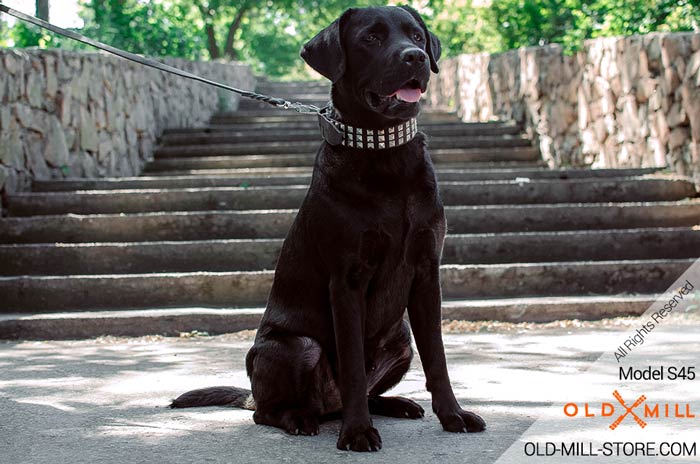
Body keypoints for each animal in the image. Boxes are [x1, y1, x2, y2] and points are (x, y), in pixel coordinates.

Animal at [172, 5, 484, 452]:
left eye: (416, 36)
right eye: (371, 38)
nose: (415, 58)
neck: (383, 150)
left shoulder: (427, 272)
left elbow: (438, 358)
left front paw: (453, 415)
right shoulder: (347, 280)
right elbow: (352, 364)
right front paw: (356, 432)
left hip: (401, 337)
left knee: (369, 390)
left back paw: (396, 404)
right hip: (295, 347)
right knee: (269, 411)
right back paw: (300, 418)